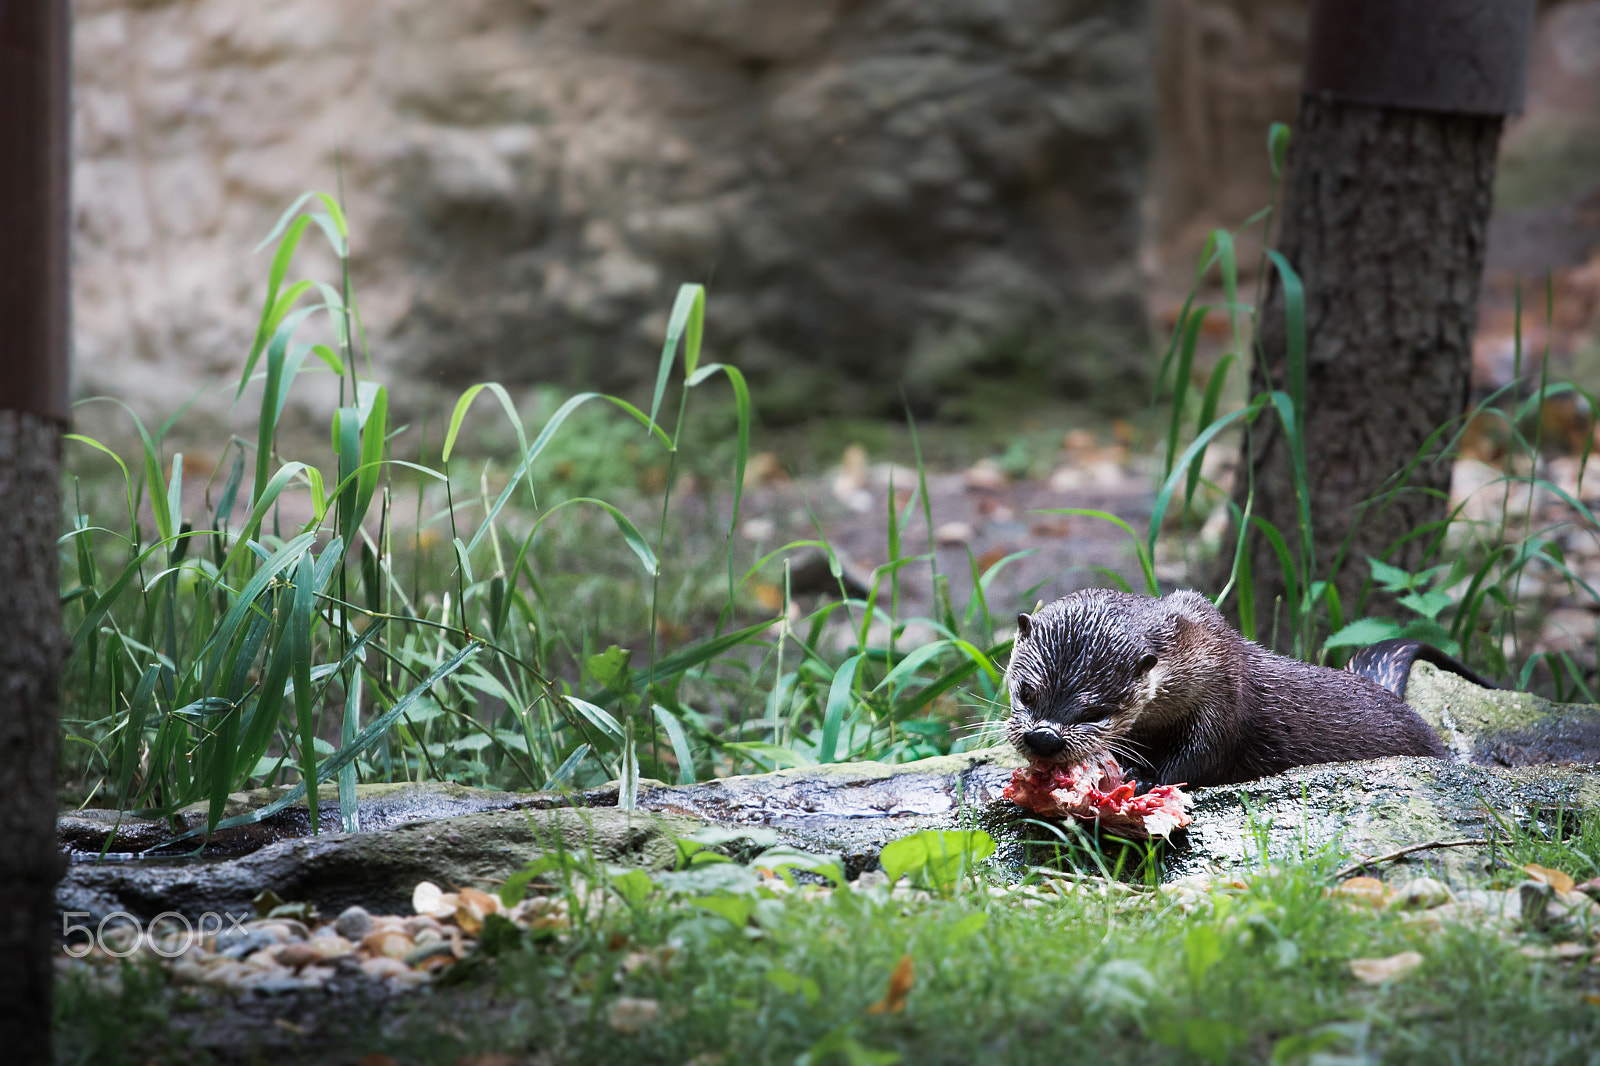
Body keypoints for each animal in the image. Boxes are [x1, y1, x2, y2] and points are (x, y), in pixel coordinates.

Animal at [1011, 585, 1452, 784]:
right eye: (1026, 692)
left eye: (1096, 711)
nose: (1045, 737)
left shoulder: (1224, 696)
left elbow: (1204, 756)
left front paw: (1146, 779)